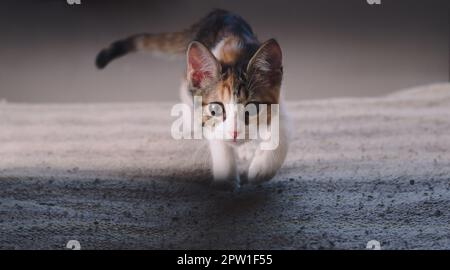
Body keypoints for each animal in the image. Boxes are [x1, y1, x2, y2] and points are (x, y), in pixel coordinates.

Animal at [96, 9, 290, 189]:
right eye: (215, 109)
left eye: (253, 109)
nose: (234, 133)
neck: (235, 55)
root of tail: (219, 12)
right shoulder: (204, 111)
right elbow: (215, 137)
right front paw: (226, 178)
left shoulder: (279, 101)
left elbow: (281, 129)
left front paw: (263, 168)